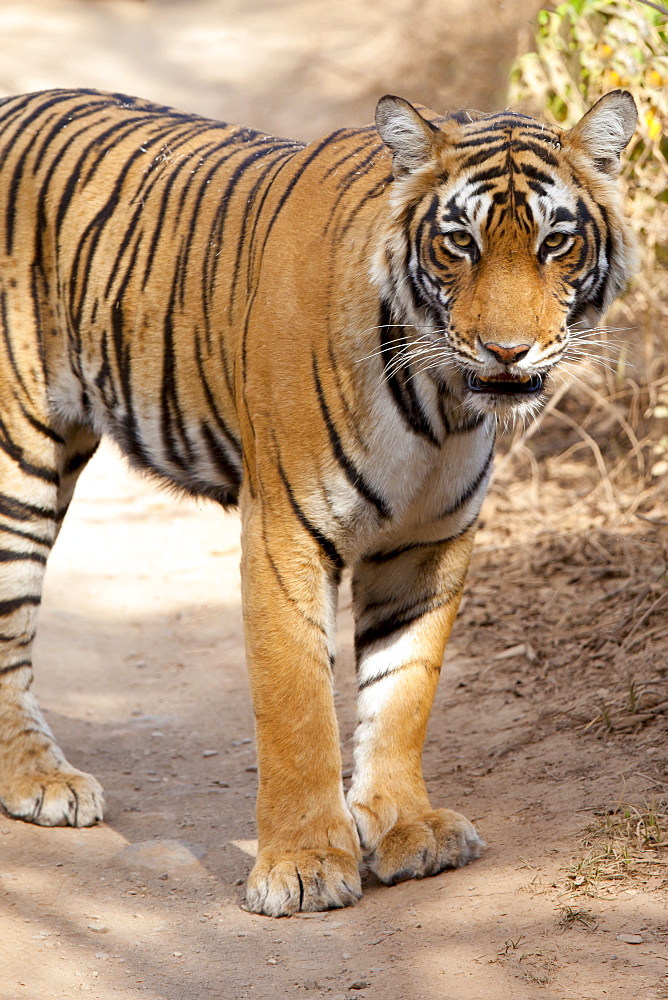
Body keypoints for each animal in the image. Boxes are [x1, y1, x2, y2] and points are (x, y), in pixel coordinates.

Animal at [0, 90, 636, 916]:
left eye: (557, 243)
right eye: (458, 243)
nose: (507, 352)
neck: (439, 402)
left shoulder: (427, 543)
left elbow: (401, 692)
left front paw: (406, 826)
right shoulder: (285, 532)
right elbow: (297, 703)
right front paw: (302, 865)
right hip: (19, 459)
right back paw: (41, 780)